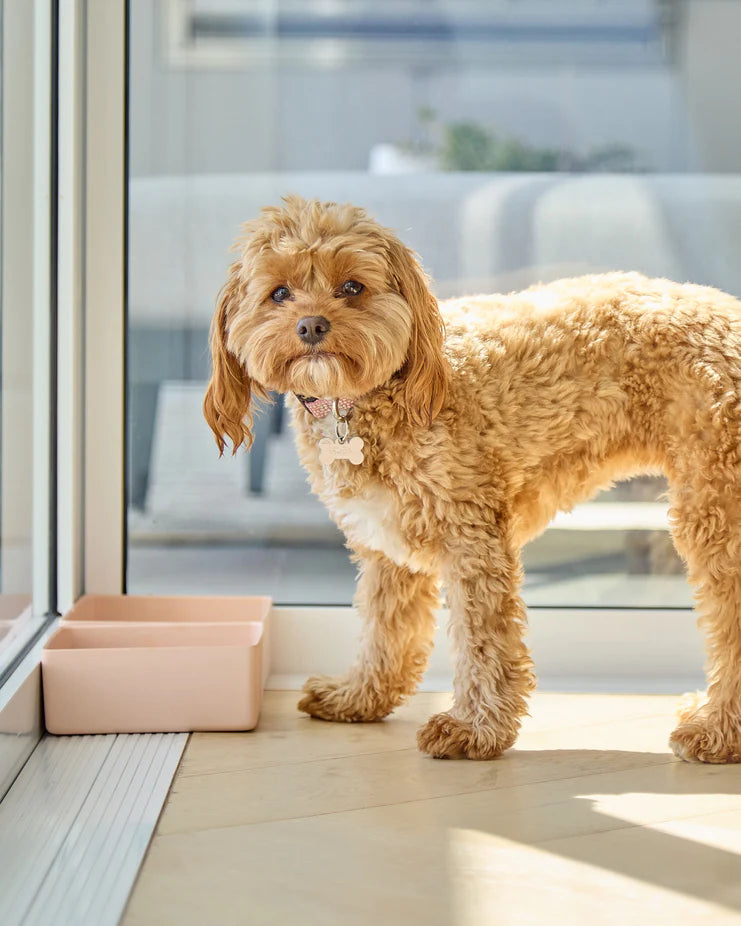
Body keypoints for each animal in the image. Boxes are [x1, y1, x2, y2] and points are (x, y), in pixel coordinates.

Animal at [204, 198, 741, 768]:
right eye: (279, 292)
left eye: (352, 286)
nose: (310, 326)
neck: (379, 396)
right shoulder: (387, 546)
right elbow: (385, 630)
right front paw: (358, 698)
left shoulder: (473, 539)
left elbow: (483, 640)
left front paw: (474, 730)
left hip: (716, 511)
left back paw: (717, 732)